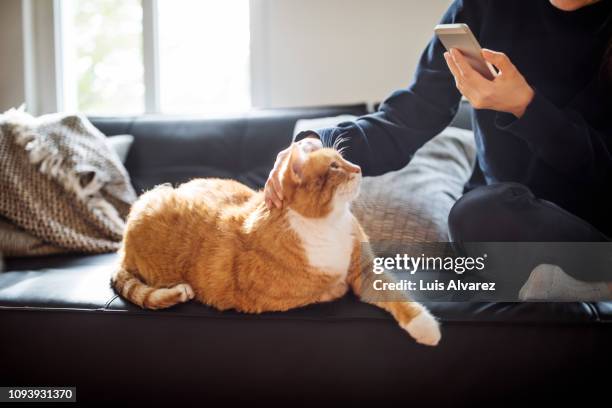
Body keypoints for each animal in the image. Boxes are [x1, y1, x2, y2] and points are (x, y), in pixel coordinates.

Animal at [111, 143, 440, 344]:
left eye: (344, 159)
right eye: (334, 167)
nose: (358, 167)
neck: (328, 225)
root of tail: (122, 249)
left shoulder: (366, 268)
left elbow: (394, 293)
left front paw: (424, 327)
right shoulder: (260, 299)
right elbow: (326, 289)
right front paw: (334, 288)